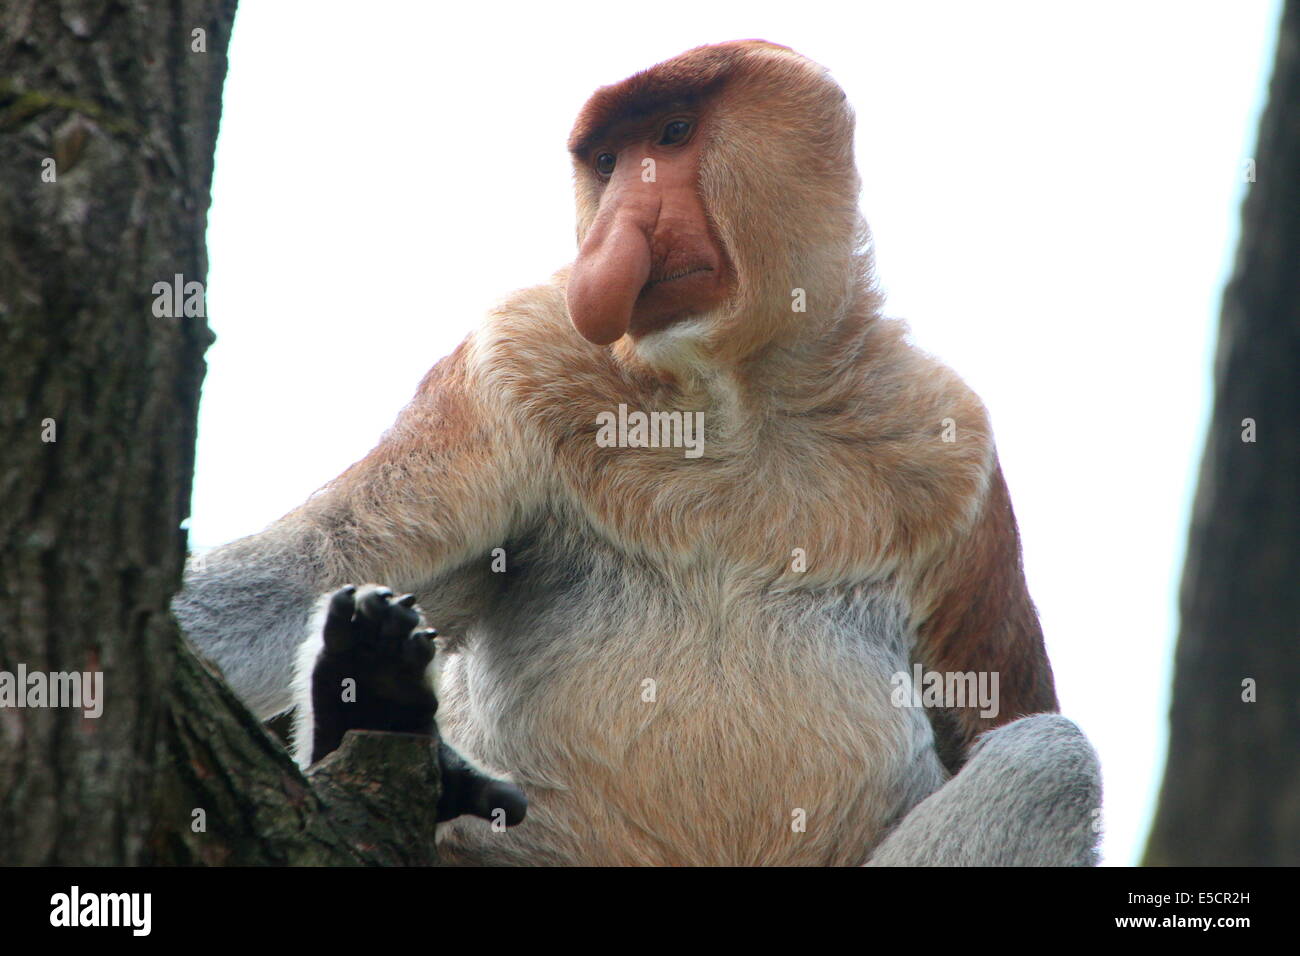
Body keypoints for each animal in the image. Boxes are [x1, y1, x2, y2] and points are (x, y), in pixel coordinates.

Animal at [174, 39, 1102, 866]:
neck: (737, 398)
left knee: (1053, 759)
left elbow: (998, 710)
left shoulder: (954, 446)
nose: (620, 230)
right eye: (608, 160)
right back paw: (370, 696)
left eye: (675, 132)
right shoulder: (510, 362)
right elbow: (302, 564)